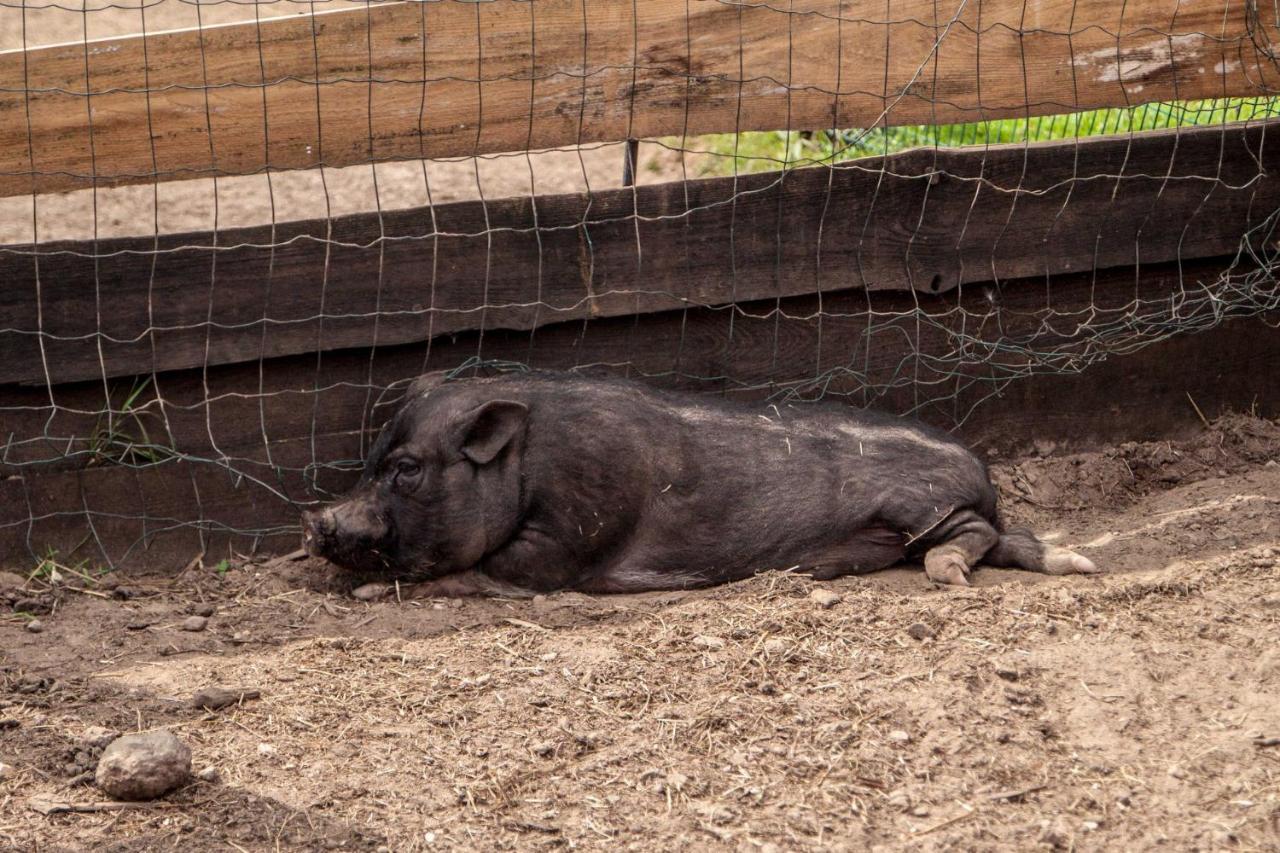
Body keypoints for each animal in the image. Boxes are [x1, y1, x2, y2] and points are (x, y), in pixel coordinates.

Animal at [302, 371, 1100, 596]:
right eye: (372, 460)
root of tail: (982, 471)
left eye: (407, 469)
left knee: (976, 532)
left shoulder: (567, 542)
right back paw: (1076, 562)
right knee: (1005, 538)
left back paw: (949, 575)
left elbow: (476, 571)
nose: (318, 523)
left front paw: (369, 595)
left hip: (924, 504)